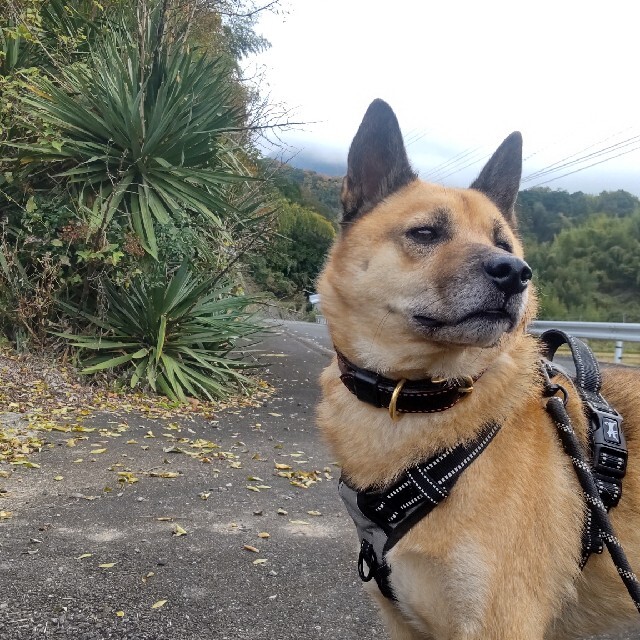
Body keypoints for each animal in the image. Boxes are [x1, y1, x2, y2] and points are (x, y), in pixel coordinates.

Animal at [318, 97, 640, 636]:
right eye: (426, 232)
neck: (422, 397)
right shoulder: (405, 623)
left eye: (504, 245)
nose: (515, 273)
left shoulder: (499, 623)